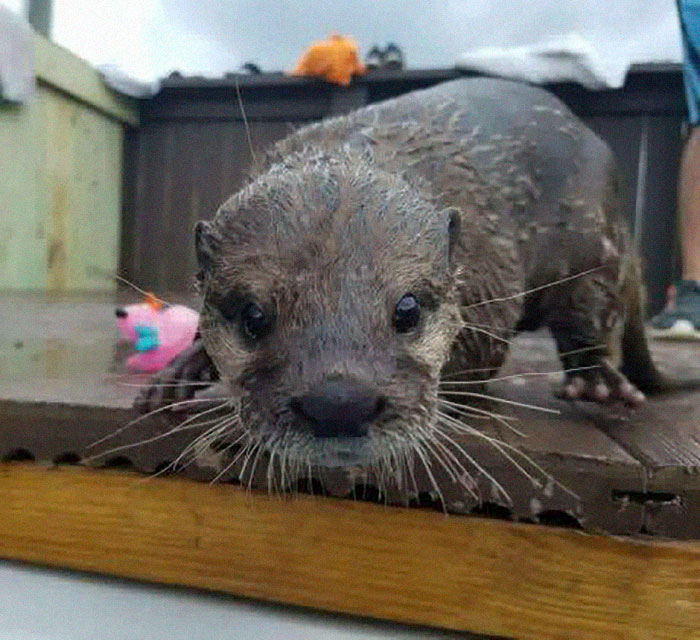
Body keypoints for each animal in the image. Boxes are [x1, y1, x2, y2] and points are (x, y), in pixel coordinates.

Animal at [135, 77, 668, 475]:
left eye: (406, 310)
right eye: (253, 316)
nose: (339, 402)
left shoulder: (492, 280)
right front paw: (182, 369)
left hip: (595, 242)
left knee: (588, 308)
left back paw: (597, 378)